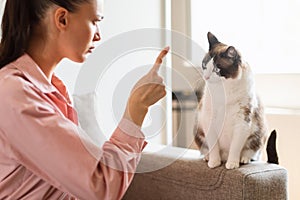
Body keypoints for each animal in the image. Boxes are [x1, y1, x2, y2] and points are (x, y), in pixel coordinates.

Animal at [193, 32, 278, 169]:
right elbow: (213, 146)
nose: (205, 77)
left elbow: (235, 147)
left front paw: (232, 163)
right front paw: (214, 162)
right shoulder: (208, 119)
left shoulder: (242, 122)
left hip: (259, 135)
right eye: (204, 65)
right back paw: (207, 157)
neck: (224, 92)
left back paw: (244, 159)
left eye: (217, 69)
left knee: (251, 152)